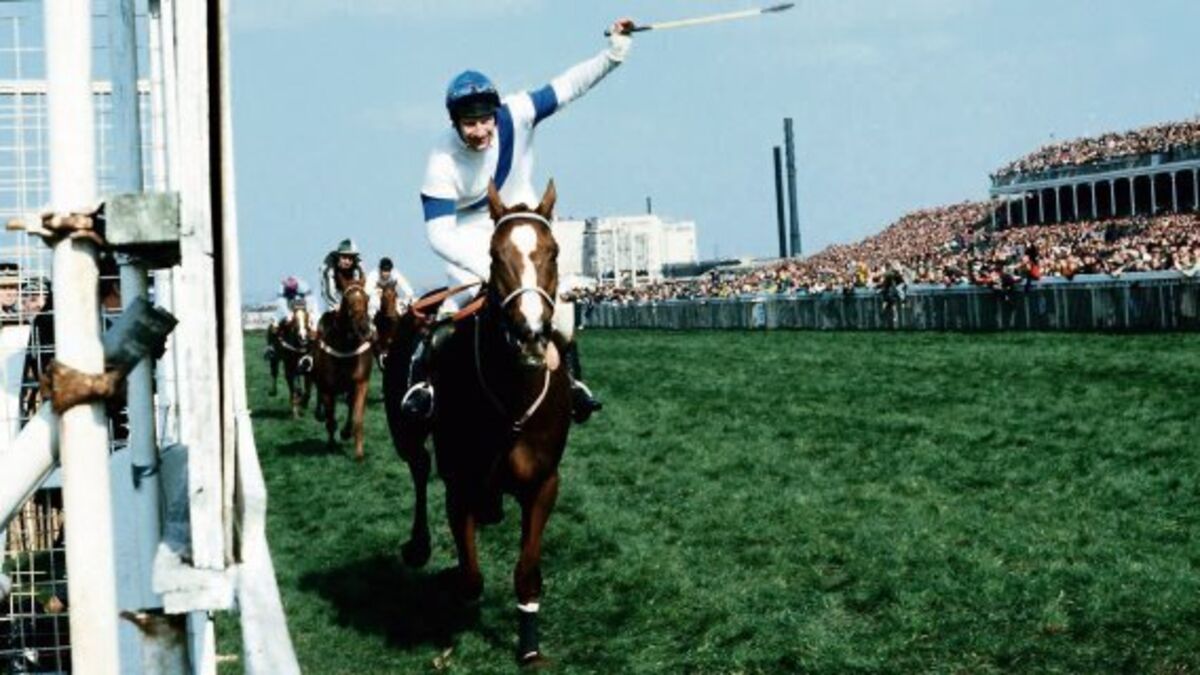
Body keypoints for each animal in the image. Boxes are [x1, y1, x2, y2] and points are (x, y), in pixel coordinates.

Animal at [311, 283, 374, 461]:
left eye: (367, 298)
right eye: (347, 300)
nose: (364, 329)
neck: (346, 345)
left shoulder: (361, 383)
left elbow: (357, 418)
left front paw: (358, 452)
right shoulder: (328, 388)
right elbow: (330, 417)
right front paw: (331, 445)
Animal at [385, 180, 572, 665]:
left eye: (554, 252)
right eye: (494, 254)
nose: (530, 334)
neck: (511, 399)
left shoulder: (544, 481)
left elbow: (526, 570)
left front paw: (528, 645)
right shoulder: (459, 482)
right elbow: (471, 577)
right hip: (405, 432)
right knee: (418, 471)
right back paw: (419, 546)